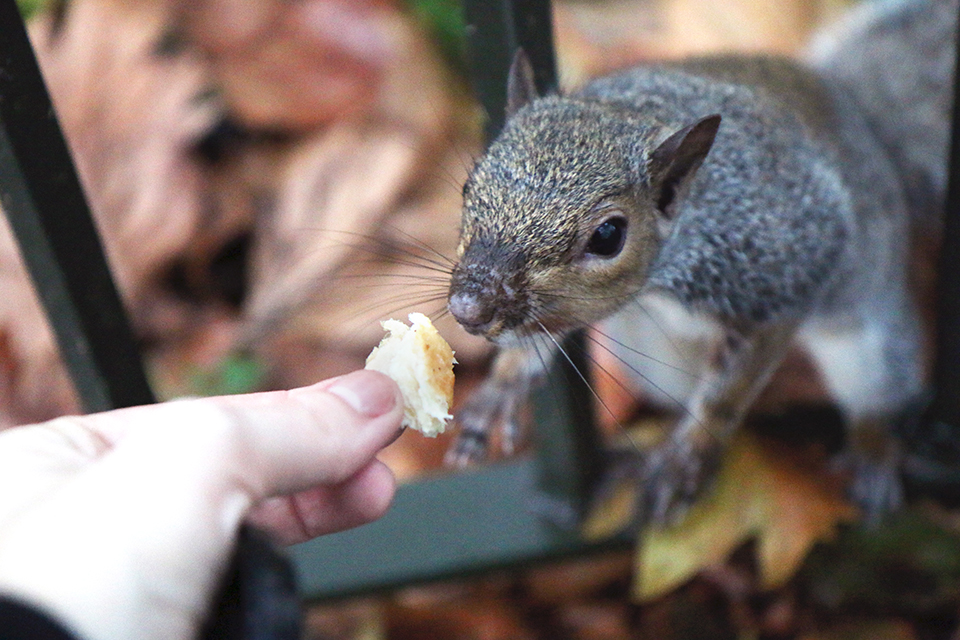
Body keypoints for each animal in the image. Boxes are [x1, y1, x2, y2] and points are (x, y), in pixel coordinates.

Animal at [446, 2, 948, 528]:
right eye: (468, 187)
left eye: (608, 236)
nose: (468, 307)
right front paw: (502, 387)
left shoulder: (782, 275)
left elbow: (728, 392)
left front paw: (685, 461)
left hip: (868, 338)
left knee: (879, 386)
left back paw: (873, 451)